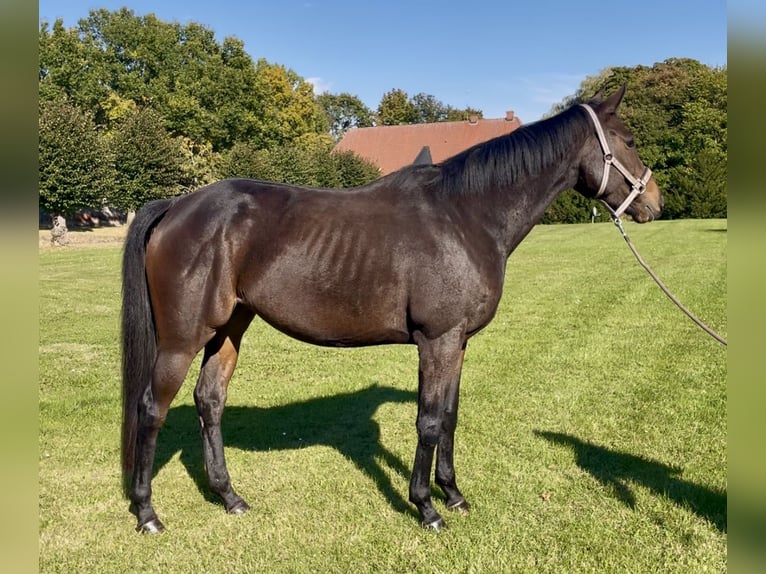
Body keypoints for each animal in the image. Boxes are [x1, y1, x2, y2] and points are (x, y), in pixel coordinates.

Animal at [121, 86, 662, 533]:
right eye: (630, 139)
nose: (654, 202)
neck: (465, 217)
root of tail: (177, 206)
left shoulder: (458, 342)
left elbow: (449, 416)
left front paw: (454, 494)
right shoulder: (437, 340)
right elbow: (428, 421)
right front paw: (426, 508)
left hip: (229, 328)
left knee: (210, 400)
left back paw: (229, 497)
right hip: (182, 339)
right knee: (151, 409)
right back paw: (147, 513)